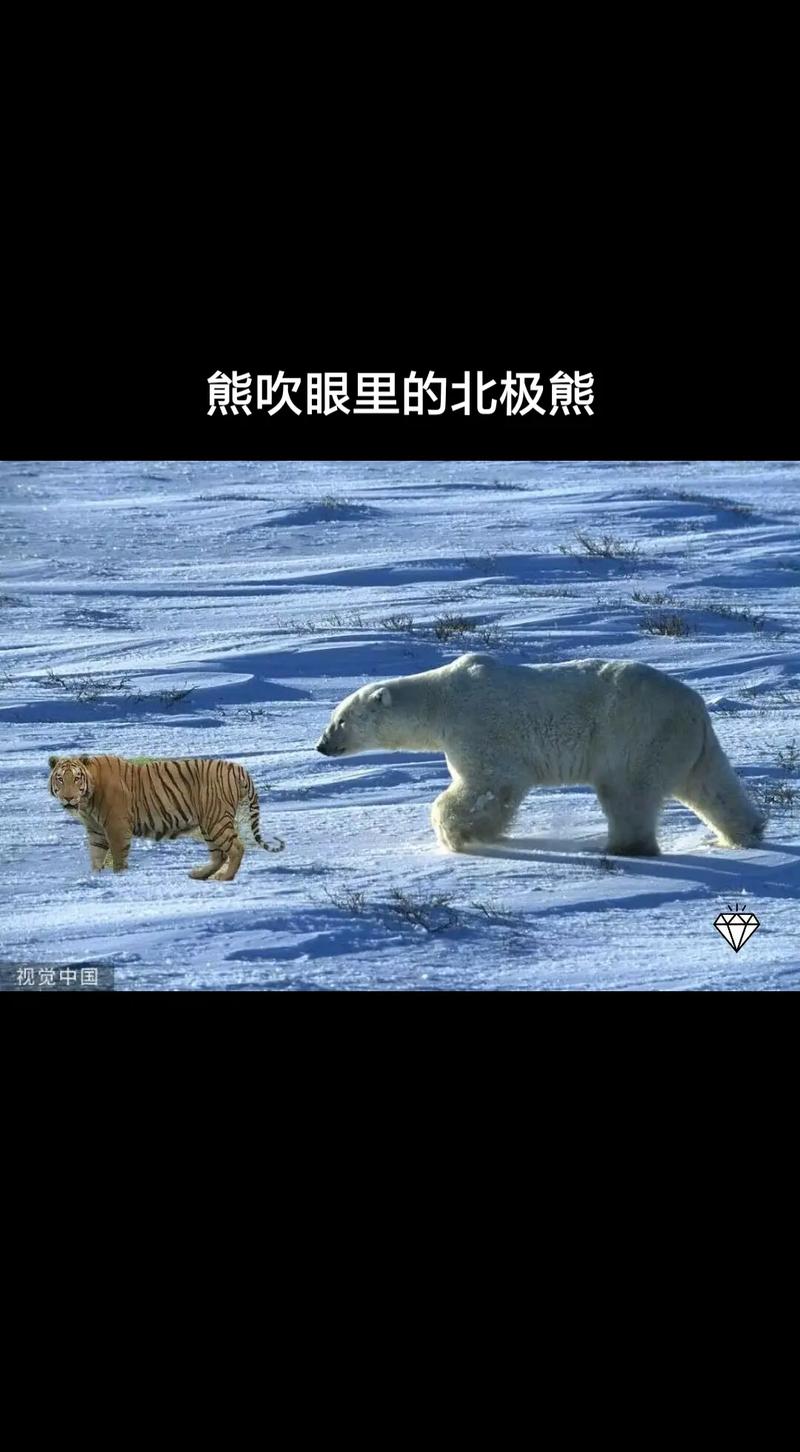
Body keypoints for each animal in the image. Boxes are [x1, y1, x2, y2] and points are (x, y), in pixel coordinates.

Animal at [315, 653, 765, 856]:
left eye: (340, 720)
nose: (321, 745)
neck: (440, 701)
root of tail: (696, 706)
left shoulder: (478, 727)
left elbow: (487, 783)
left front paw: (457, 835)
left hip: (636, 734)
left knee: (626, 792)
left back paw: (624, 847)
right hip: (687, 742)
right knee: (711, 784)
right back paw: (745, 832)